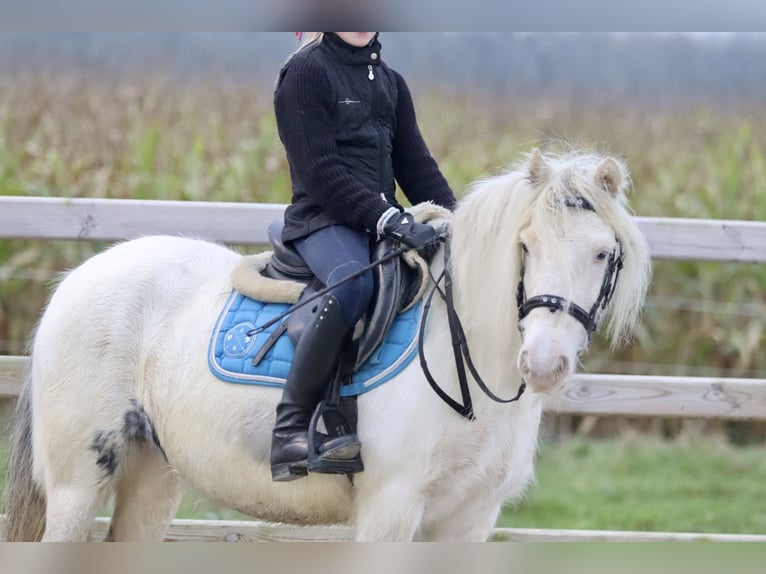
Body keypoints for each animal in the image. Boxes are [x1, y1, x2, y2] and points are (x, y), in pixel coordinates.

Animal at [4, 150, 656, 544]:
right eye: (525, 246)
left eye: (603, 253)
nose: (544, 363)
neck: (464, 364)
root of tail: (78, 279)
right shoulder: (389, 512)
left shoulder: (470, 521)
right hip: (76, 485)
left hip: (153, 474)